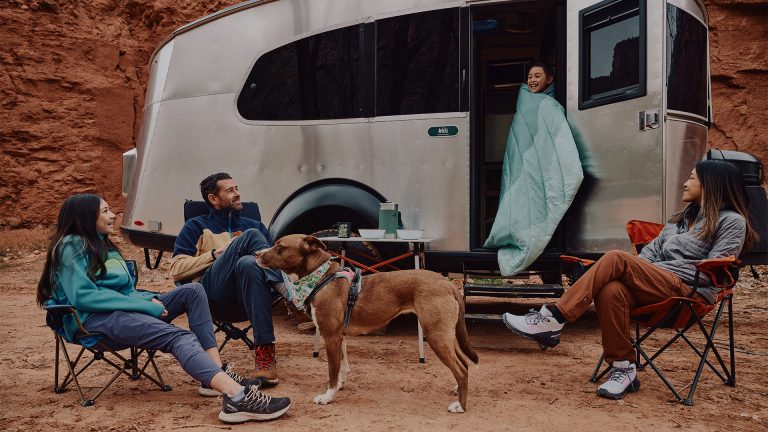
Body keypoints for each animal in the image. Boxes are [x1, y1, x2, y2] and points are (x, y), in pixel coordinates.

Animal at [256, 234, 478, 413]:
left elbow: (332, 371)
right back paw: (458, 389)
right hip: (447, 335)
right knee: (464, 364)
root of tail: (448, 284)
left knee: (460, 369)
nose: (256, 253)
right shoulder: (340, 337)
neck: (321, 277)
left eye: (279, 246)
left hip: (436, 335)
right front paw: (340, 386)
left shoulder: (331, 336)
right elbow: (342, 367)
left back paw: (461, 406)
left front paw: (328, 396)